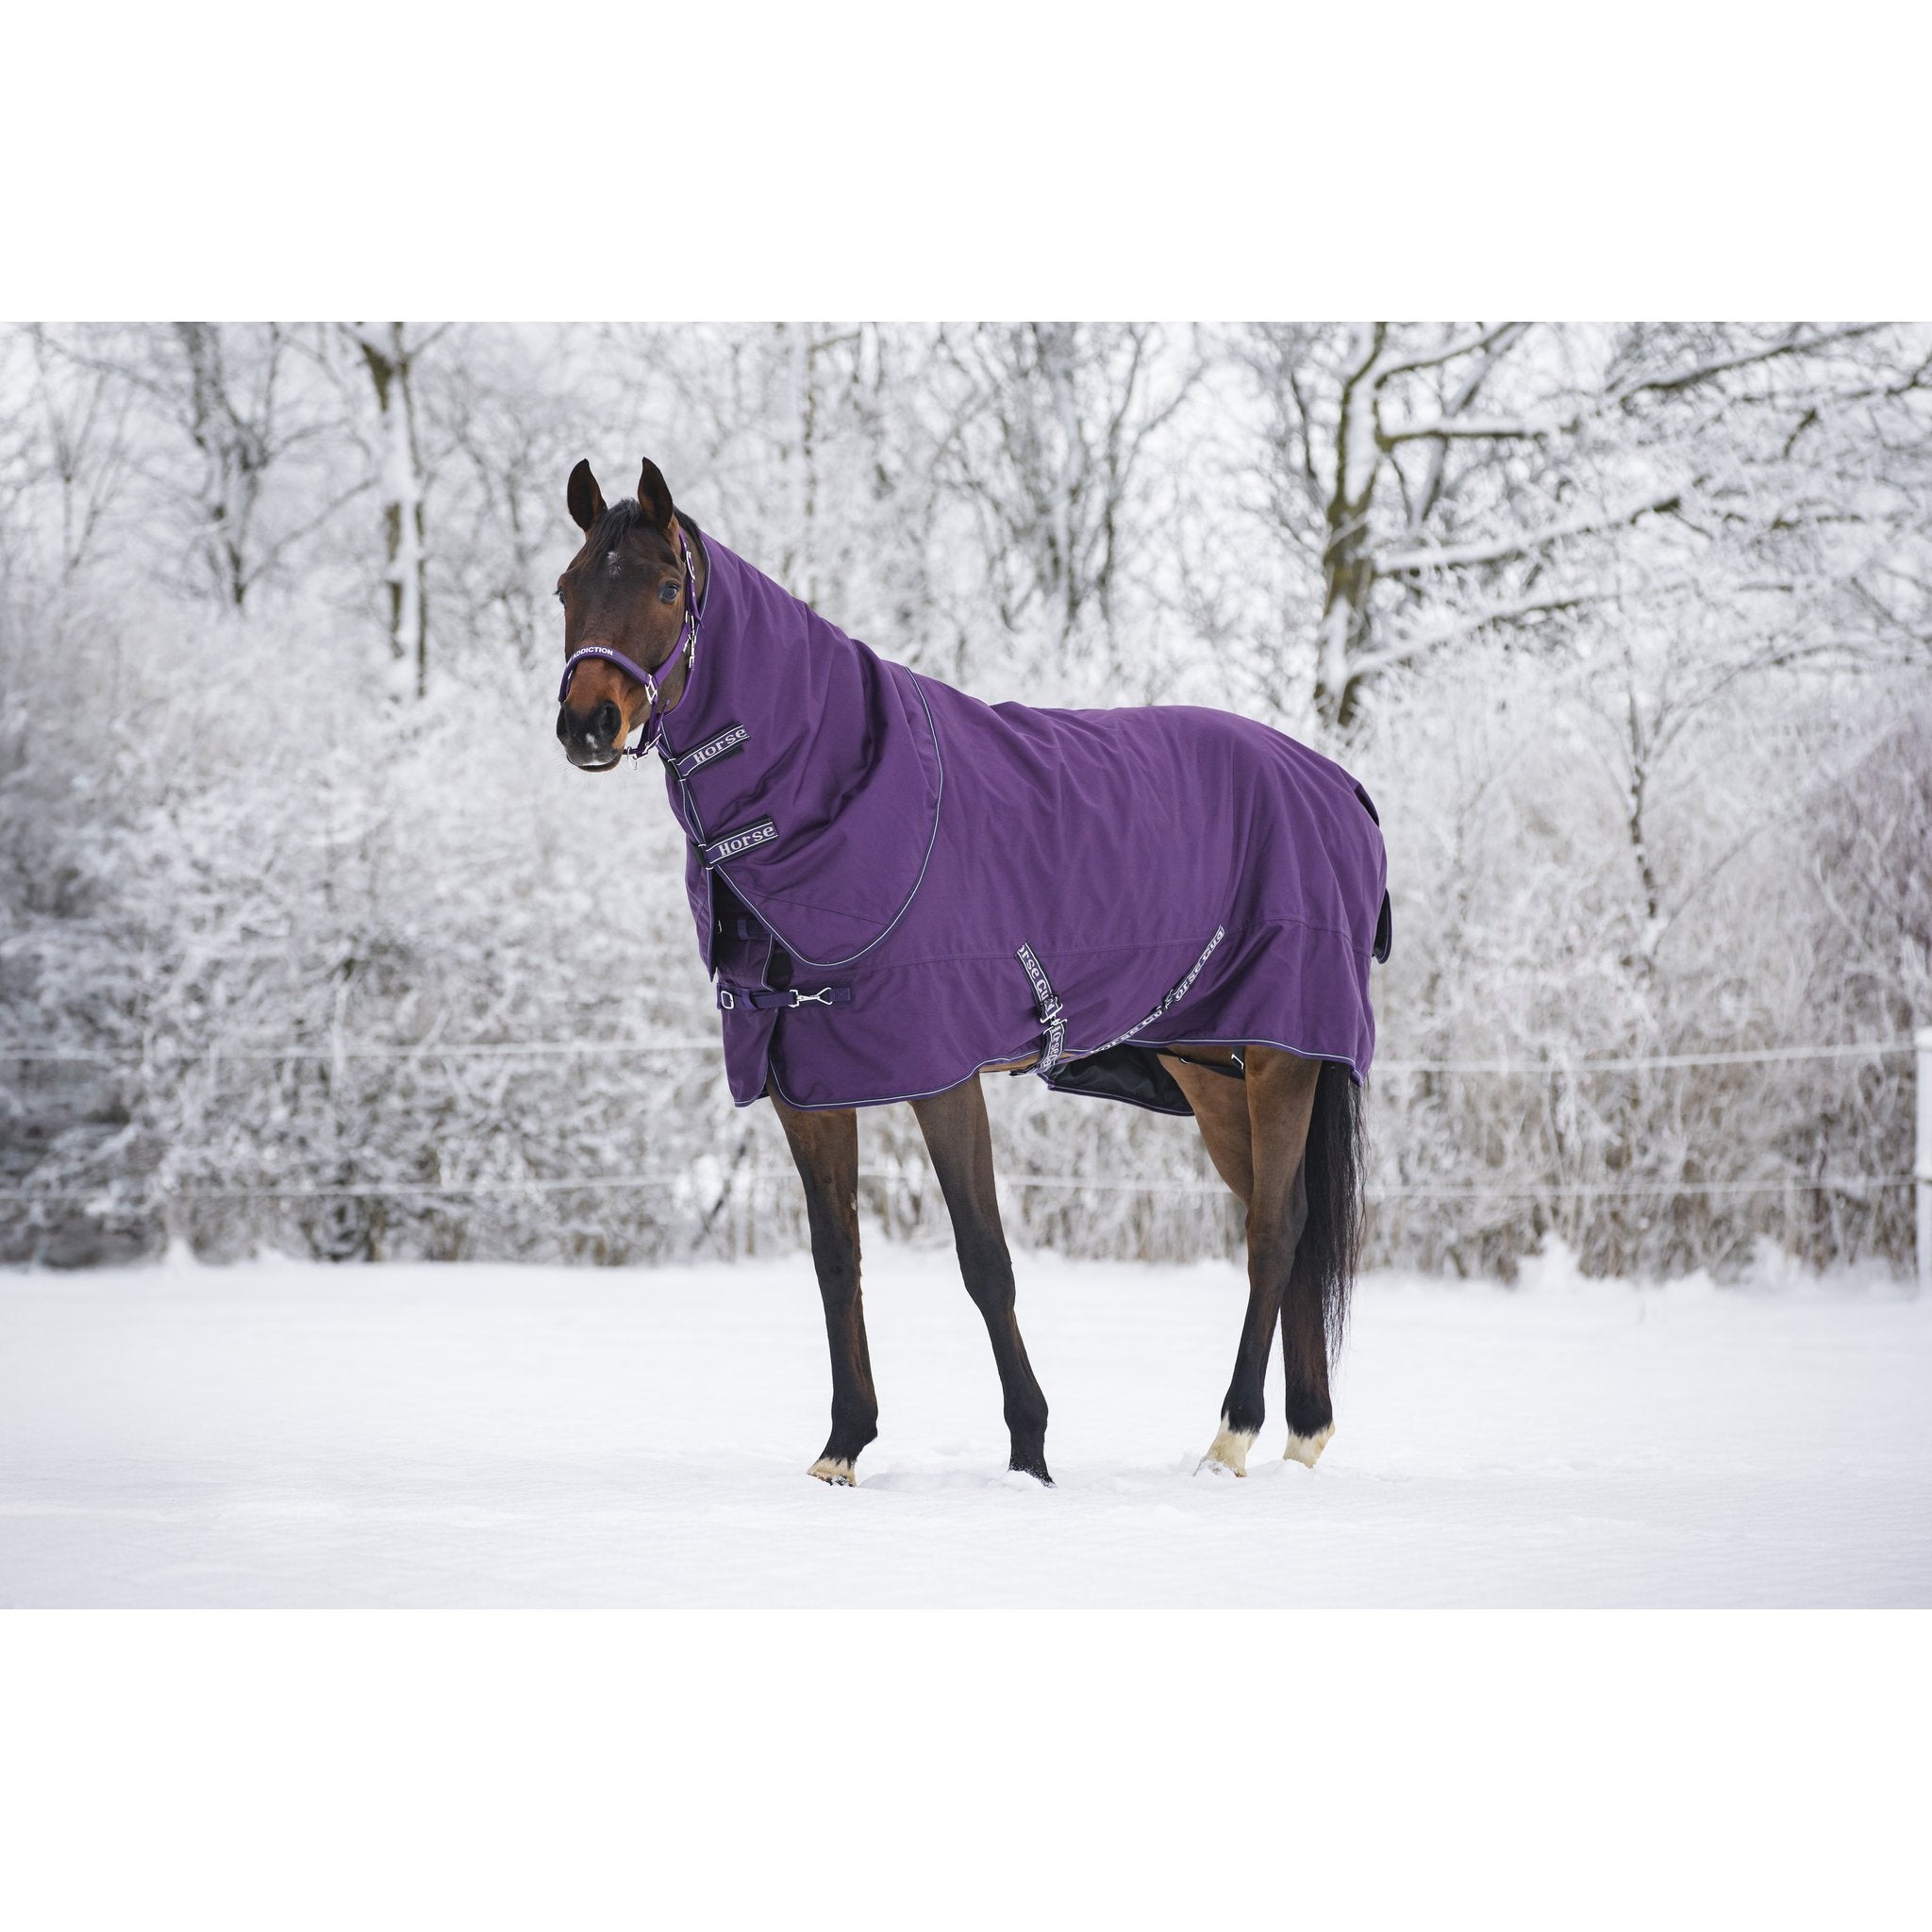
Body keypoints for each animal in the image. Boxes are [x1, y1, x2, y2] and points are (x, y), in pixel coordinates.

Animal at [553, 456, 1389, 1488]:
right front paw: (842, 1446)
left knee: (1274, 1231)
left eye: (668, 588)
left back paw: (1231, 1435)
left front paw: (1029, 1451)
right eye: (567, 590)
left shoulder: (944, 1073)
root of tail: (1338, 787)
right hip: (1210, 1068)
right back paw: (1304, 1434)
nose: (586, 724)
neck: (843, 795)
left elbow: (984, 1259)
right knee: (1294, 1222)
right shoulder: (804, 1088)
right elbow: (836, 1258)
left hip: (1284, 1057)